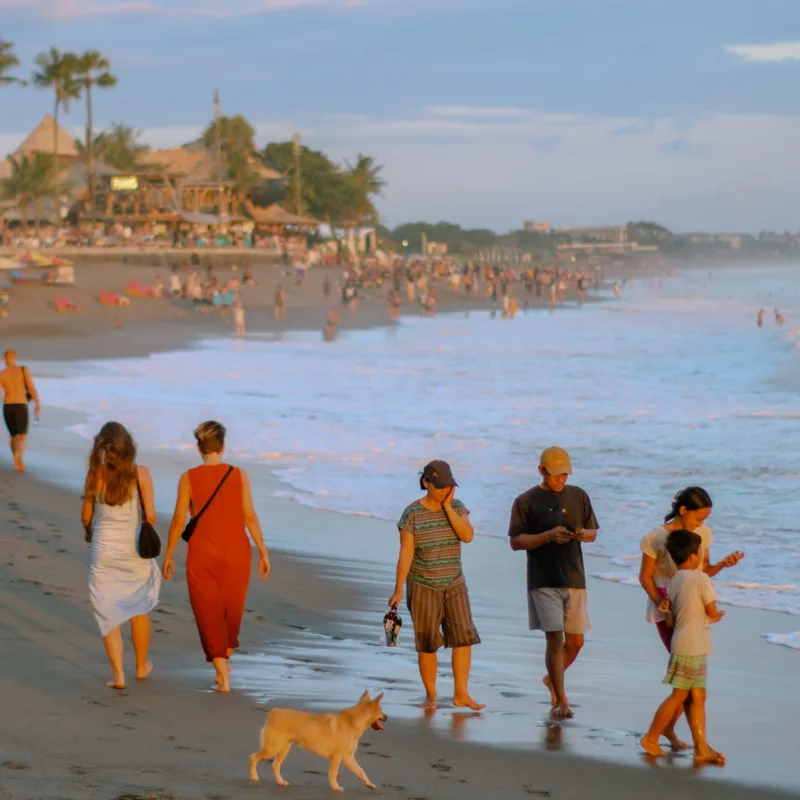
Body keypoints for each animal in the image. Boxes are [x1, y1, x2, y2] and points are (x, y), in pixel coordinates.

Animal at [250, 692, 388, 792]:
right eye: (381, 709)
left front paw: (369, 784)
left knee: (275, 765)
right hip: (272, 748)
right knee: (253, 757)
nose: (387, 717)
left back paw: (280, 782)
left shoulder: (348, 757)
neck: (352, 722)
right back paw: (254, 777)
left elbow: (360, 771)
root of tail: (275, 711)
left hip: (283, 750)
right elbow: (334, 774)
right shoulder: (337, 757)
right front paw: (335, 787)